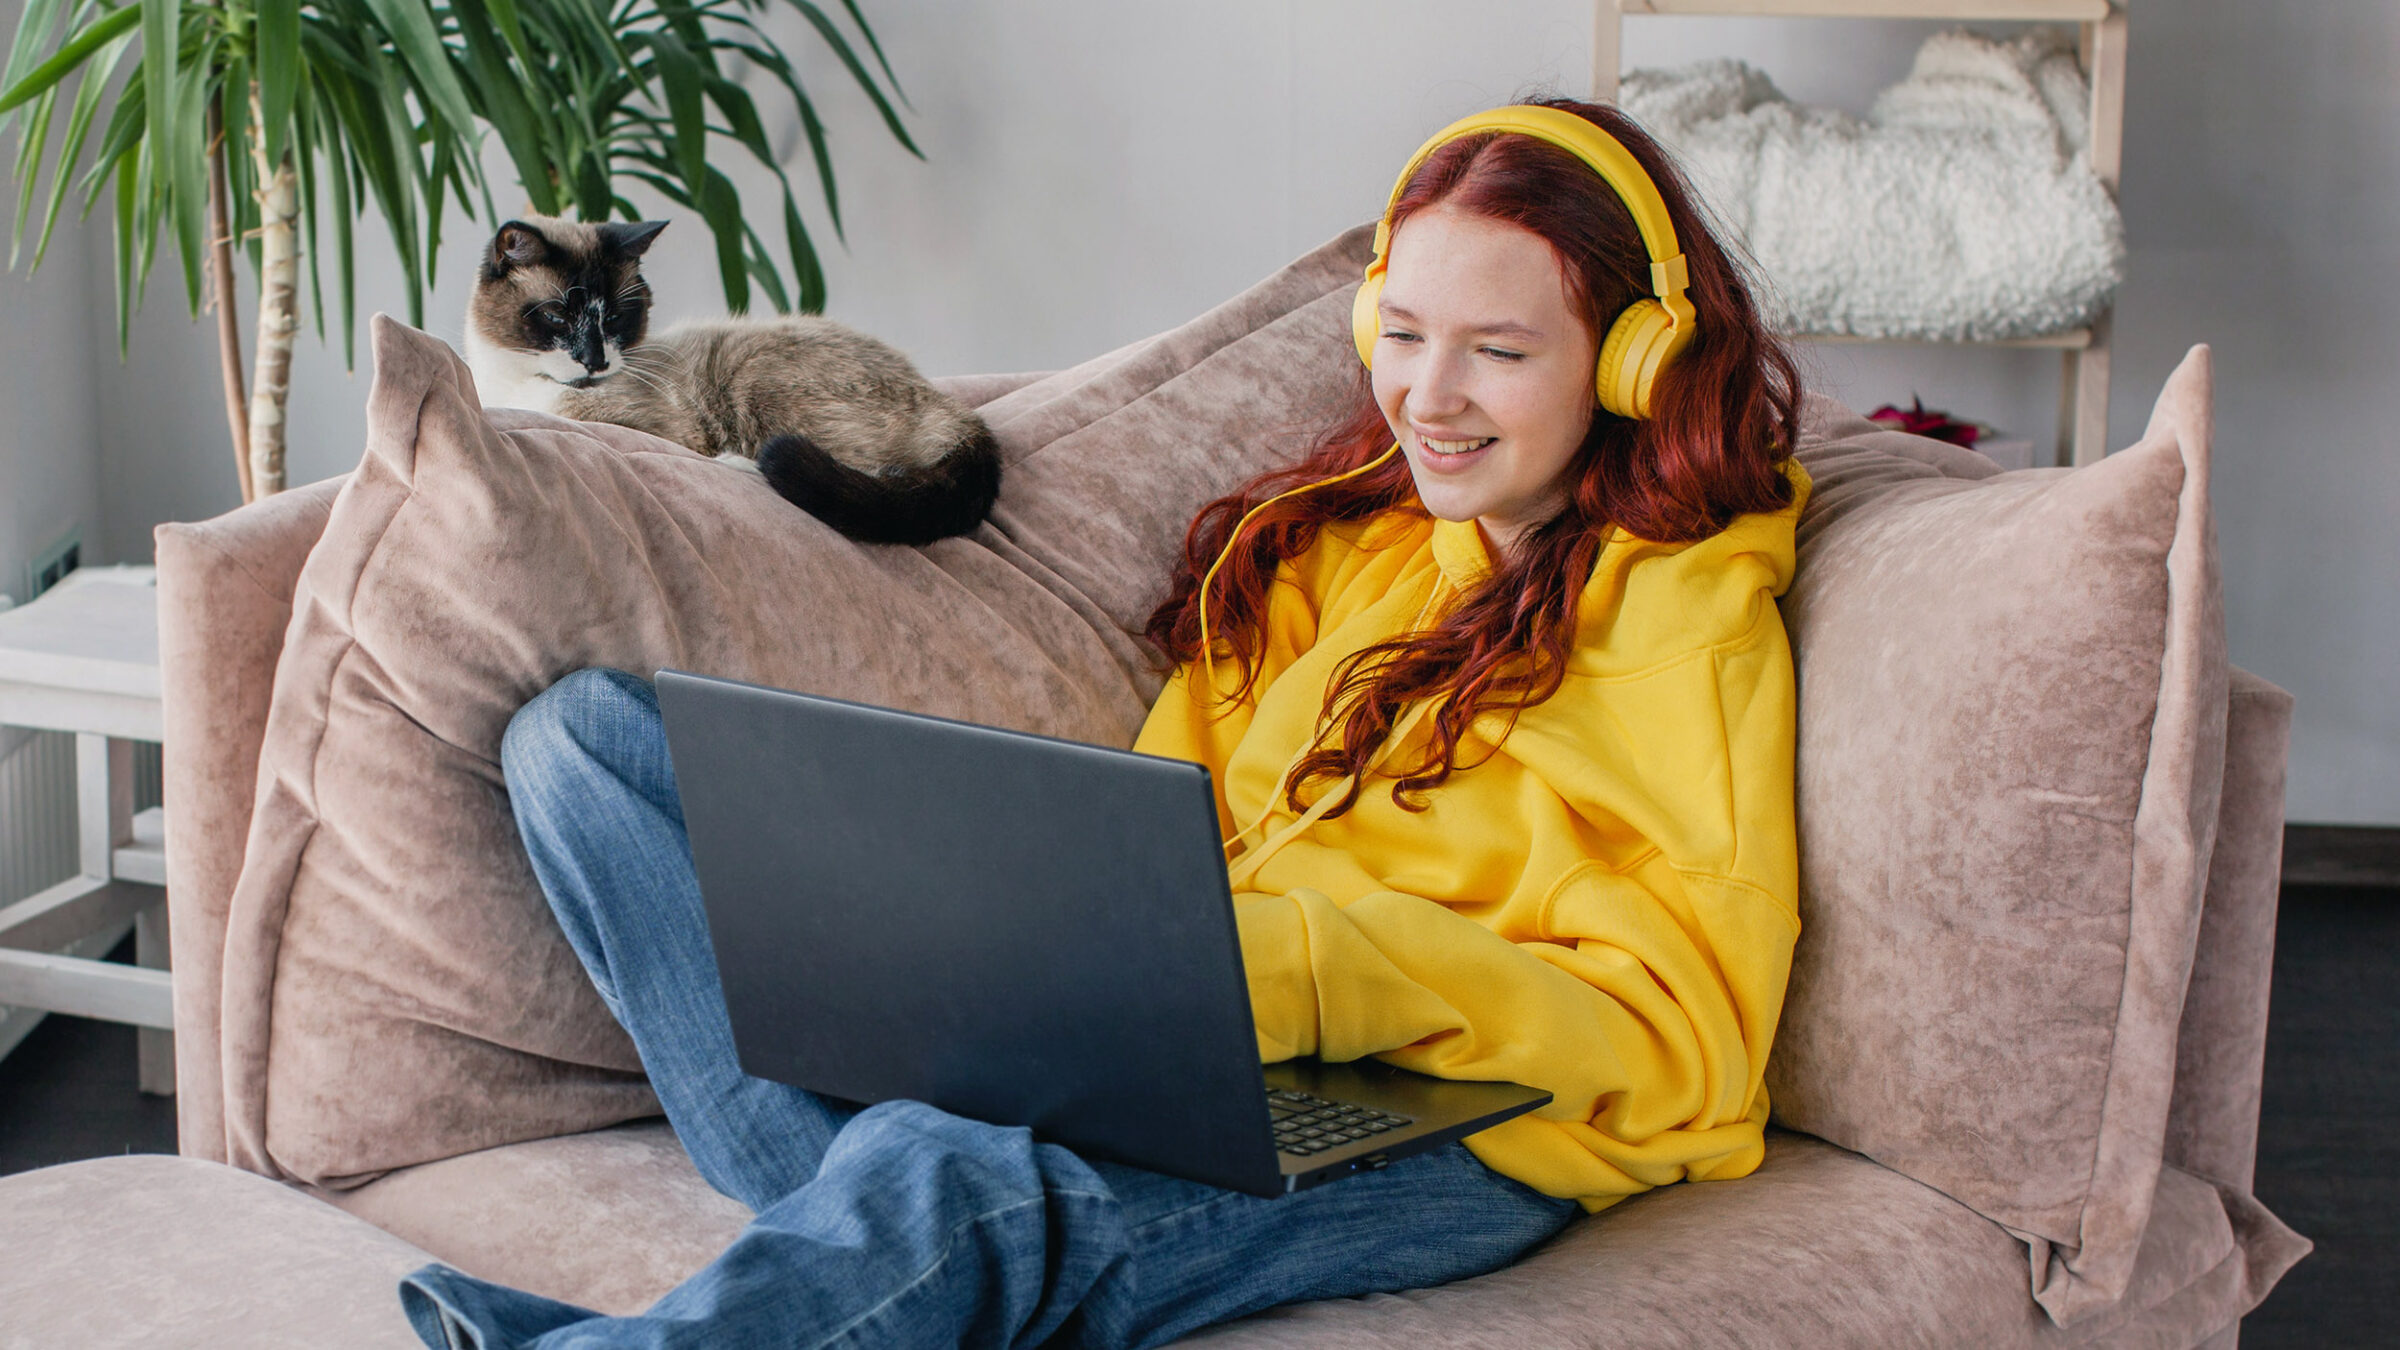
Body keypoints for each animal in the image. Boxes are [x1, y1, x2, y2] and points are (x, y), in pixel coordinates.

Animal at [463, 214, 998, 540]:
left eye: (615, 318)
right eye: (558, 316)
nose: (596, 362)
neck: (518, 383)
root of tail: (960, 414)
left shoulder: (651, 425)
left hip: (753, 379)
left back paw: (743, 464)